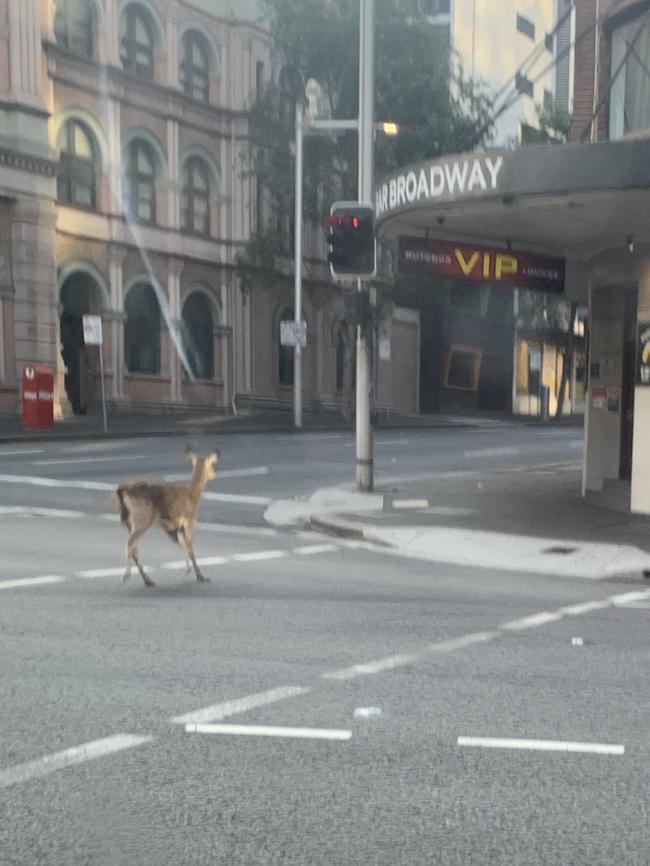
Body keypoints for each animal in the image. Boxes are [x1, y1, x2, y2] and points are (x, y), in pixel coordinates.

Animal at [115, 448, 219, 584]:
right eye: (211, 464)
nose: (214, 473)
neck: (192, 495)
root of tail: (122, 490)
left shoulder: (174, 526)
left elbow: (182, 545)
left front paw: (187, 570)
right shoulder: (188, 520)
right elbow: (189, 546)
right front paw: (200, 576)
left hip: (131, 522)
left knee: (134, 547)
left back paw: (147, 580)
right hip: (142, 518)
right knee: (130, 543)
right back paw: (126, 576)